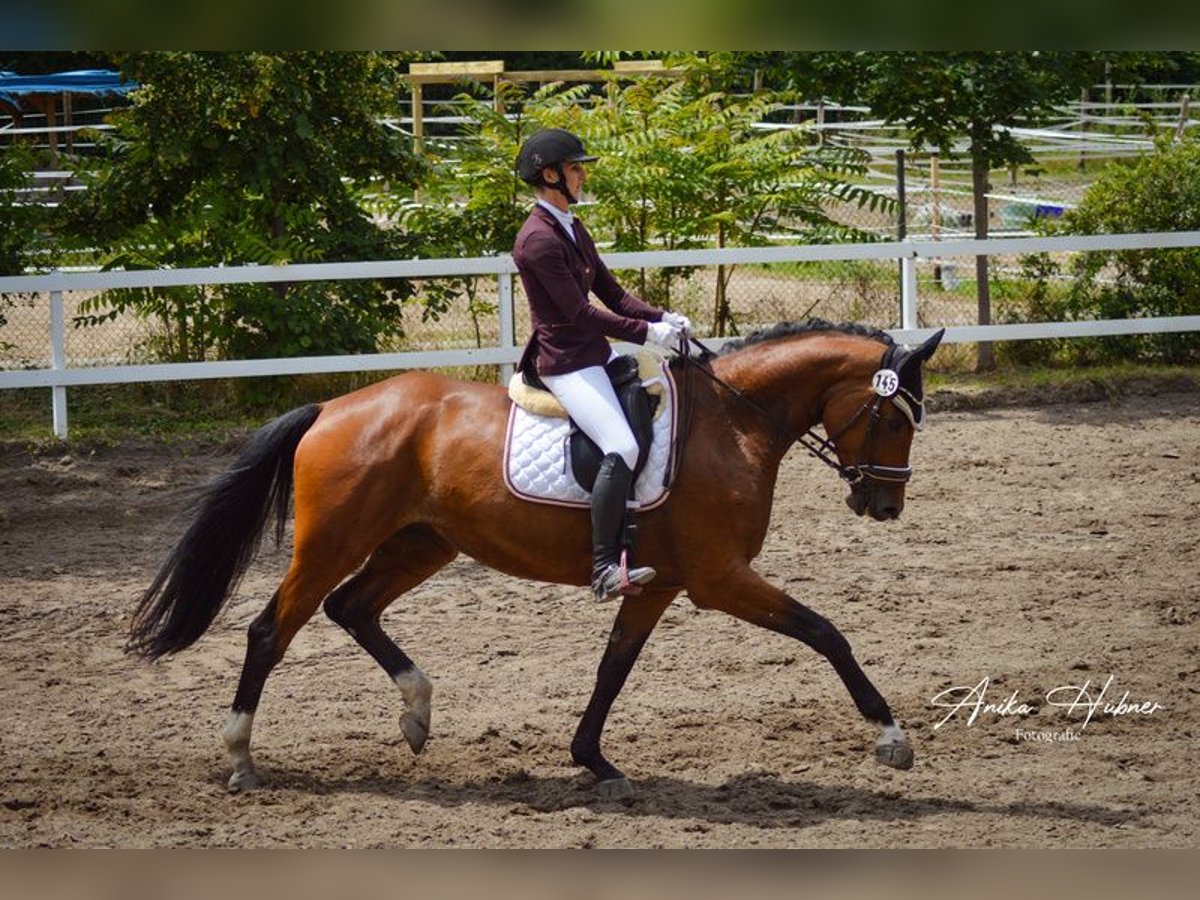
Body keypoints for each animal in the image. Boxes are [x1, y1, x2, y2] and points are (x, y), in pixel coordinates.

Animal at [126, 321, 940, 801]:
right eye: (897, 417)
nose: (885, 505)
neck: (734, 423)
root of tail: (333, 408)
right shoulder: (719, 579)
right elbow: (826, 632)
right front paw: (891, 738)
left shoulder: (662, 585)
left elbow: (614, 668)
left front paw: (593, 760)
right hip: (334, 542)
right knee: (273, 630)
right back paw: (240, 758)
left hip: (421, 543)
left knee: (350, 607)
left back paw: (416, 712)